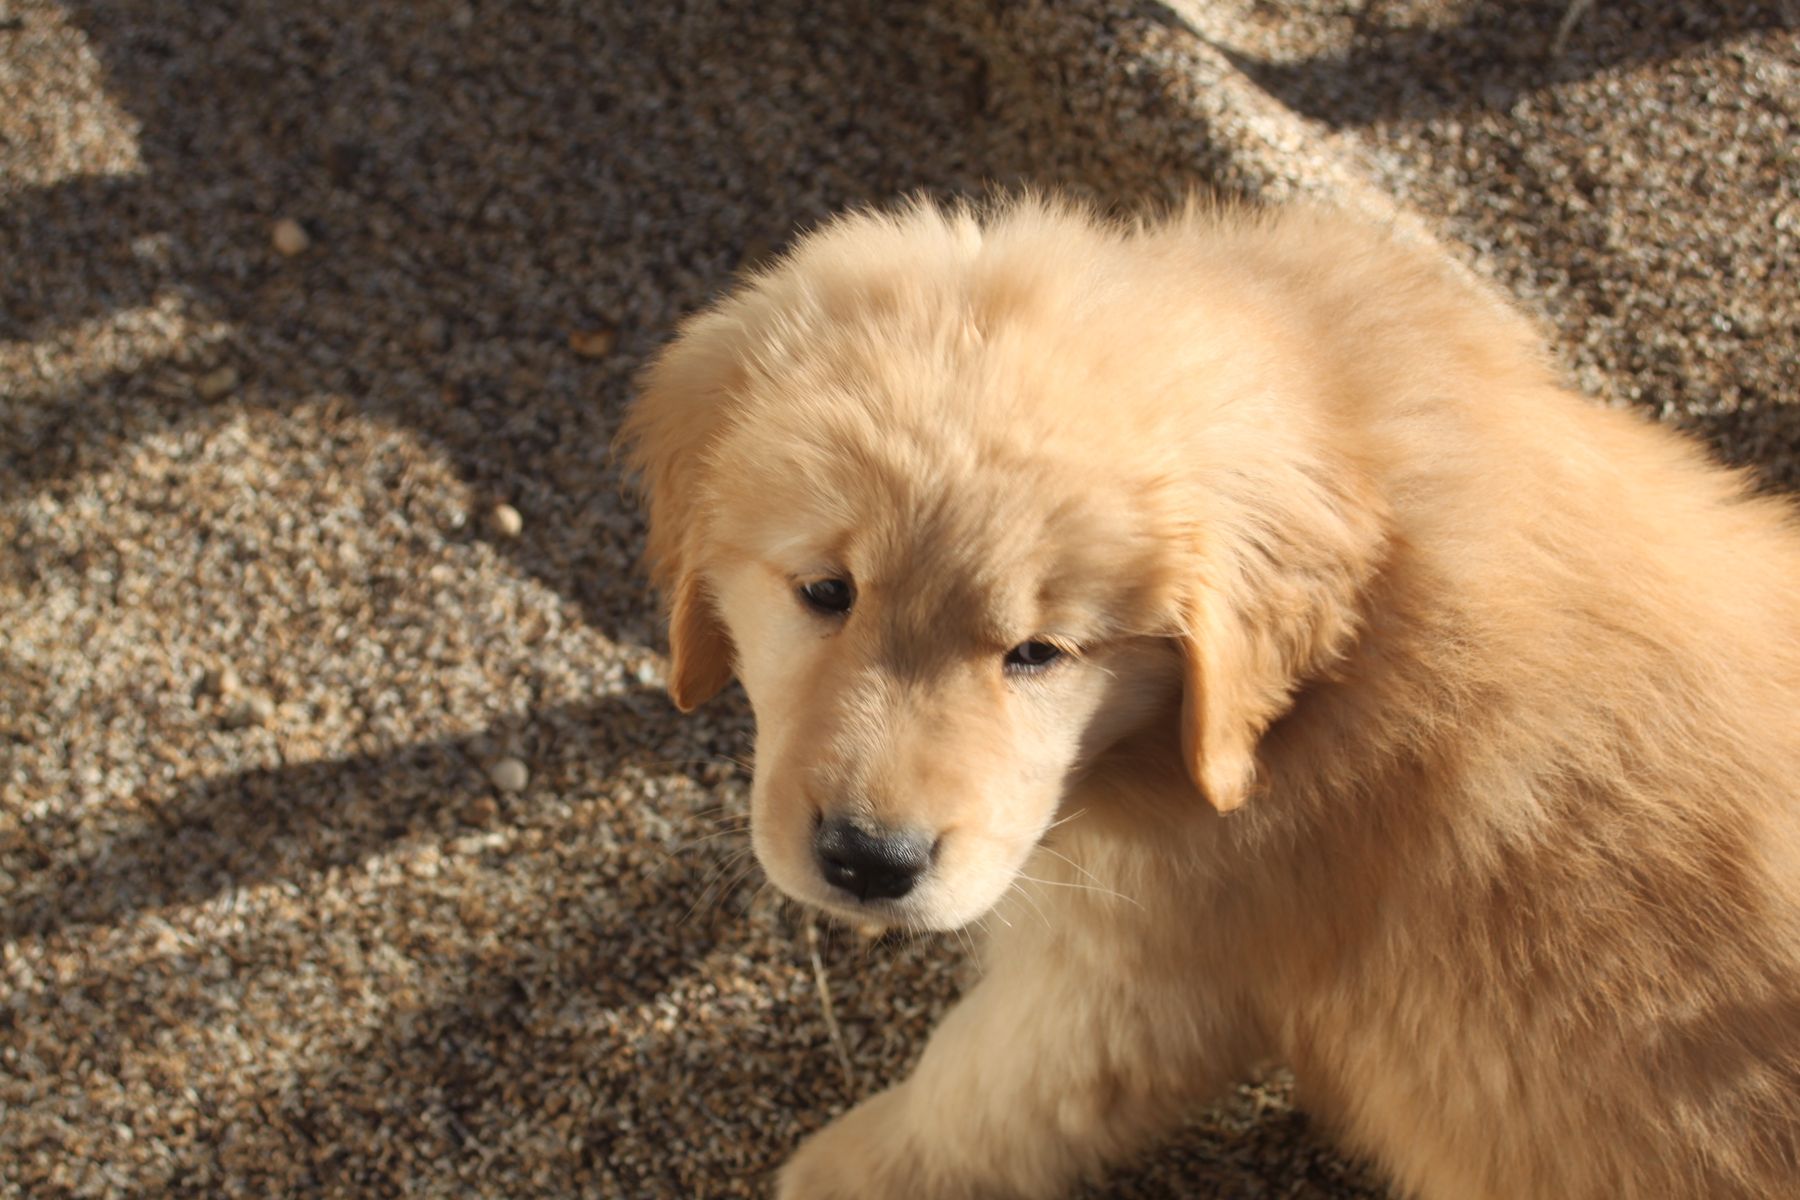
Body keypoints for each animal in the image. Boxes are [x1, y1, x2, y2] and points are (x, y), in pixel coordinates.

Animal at [622, 199, 1800, 1200]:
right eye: (826, 592)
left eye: (1040, 652)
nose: (871, 862)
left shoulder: (1153, 966)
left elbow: (983, 1093)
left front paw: (844, 1168)